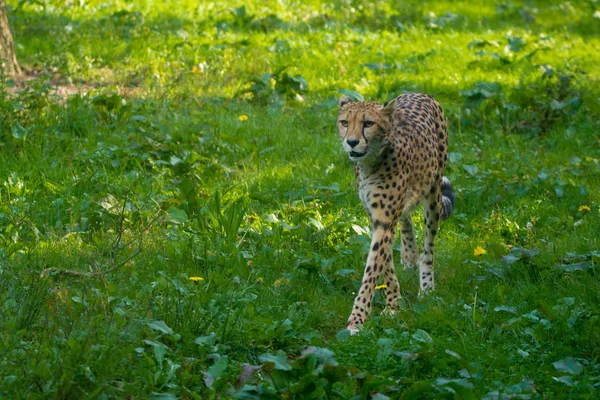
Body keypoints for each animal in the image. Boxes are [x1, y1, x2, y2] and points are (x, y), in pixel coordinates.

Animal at [338, 92, 454, 332]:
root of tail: (418, 93)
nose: (351, 142)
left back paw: (426, 286)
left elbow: (372, 270)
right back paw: (409, 255)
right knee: (406, 219)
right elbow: (384, 265)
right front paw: (393, 305)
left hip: (434, 192)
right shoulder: (377, 220)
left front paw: (356, 320)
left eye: (368, 123)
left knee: (428, 248)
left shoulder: (385, 221)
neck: (370, 162)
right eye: (344, 122)